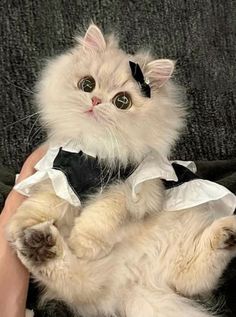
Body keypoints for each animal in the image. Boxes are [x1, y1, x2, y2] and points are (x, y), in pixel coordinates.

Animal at [5, 24, 236, 316]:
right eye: (87, 85)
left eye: (122, 102)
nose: (95, 100)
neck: (95, 154)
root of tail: (135, 283)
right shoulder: (58, 173)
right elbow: (45, 202)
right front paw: (21, 225)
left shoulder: (133, 189)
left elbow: (100, 216)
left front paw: (82, 243)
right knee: (79, 281)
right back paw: (38, 245)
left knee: (193, 272)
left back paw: (229, 231)